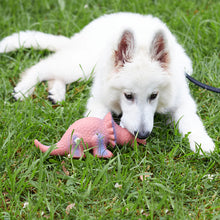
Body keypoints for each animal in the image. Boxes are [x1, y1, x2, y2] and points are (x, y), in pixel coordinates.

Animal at [0, 12, 216, 153]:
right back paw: (24, 88)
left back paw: (56, 93)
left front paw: (201, 142)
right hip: (83, 65)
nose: (142, 134)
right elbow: (95, 118)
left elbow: (190, 119)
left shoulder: (181, 98)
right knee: (43, 65)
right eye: (128, 96)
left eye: (154, 95)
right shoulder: (99, 98)